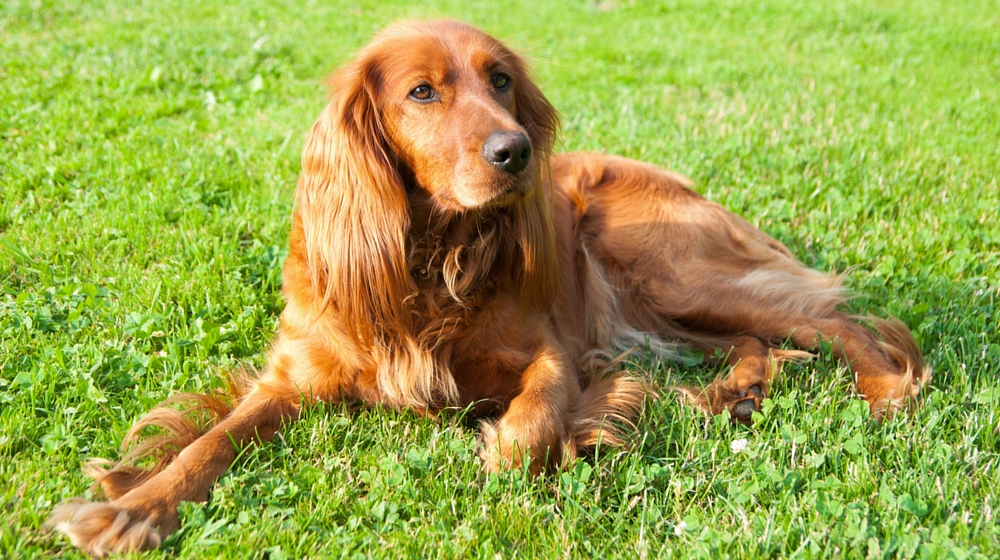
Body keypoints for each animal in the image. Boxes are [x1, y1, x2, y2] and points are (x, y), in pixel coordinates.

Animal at [47, 18, 928, 556]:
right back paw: (734, 393)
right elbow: (211, 440)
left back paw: (885, 388)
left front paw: (509, 446)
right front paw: (132, 504)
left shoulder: (555, 351)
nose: (516, 154)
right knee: (758, 340)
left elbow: (537, 415)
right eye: (422, 92)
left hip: (664, 265)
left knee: (839, 321)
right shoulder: (295, 375)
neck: (431, 260)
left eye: (500, 80)